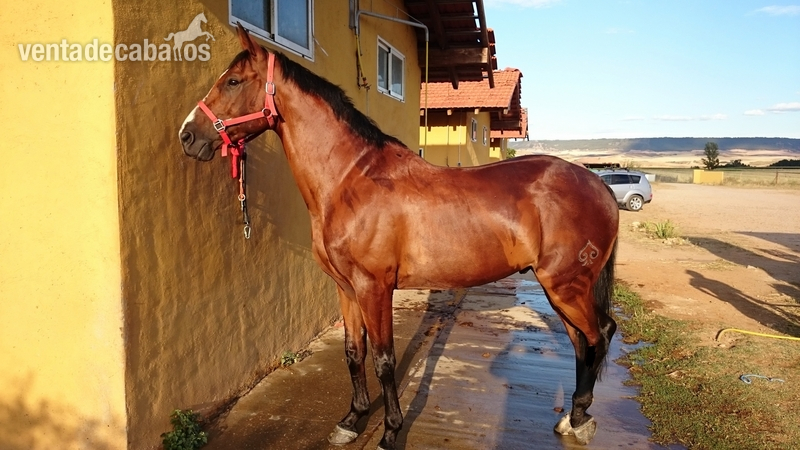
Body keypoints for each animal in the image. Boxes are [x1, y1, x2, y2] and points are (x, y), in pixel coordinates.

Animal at [178, 24, 619, 449]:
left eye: (233, 81)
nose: (188, 136)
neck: (351, 180)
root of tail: (598, 184)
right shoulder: (346, 288)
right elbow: (353, 352)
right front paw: (351, 421)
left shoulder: (374, 288)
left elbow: (384, 360)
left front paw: (389, 432)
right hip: (560, 290)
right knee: (581, 341)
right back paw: (571, 418)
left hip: (566, 286)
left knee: (599, 334)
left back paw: (581, 419)